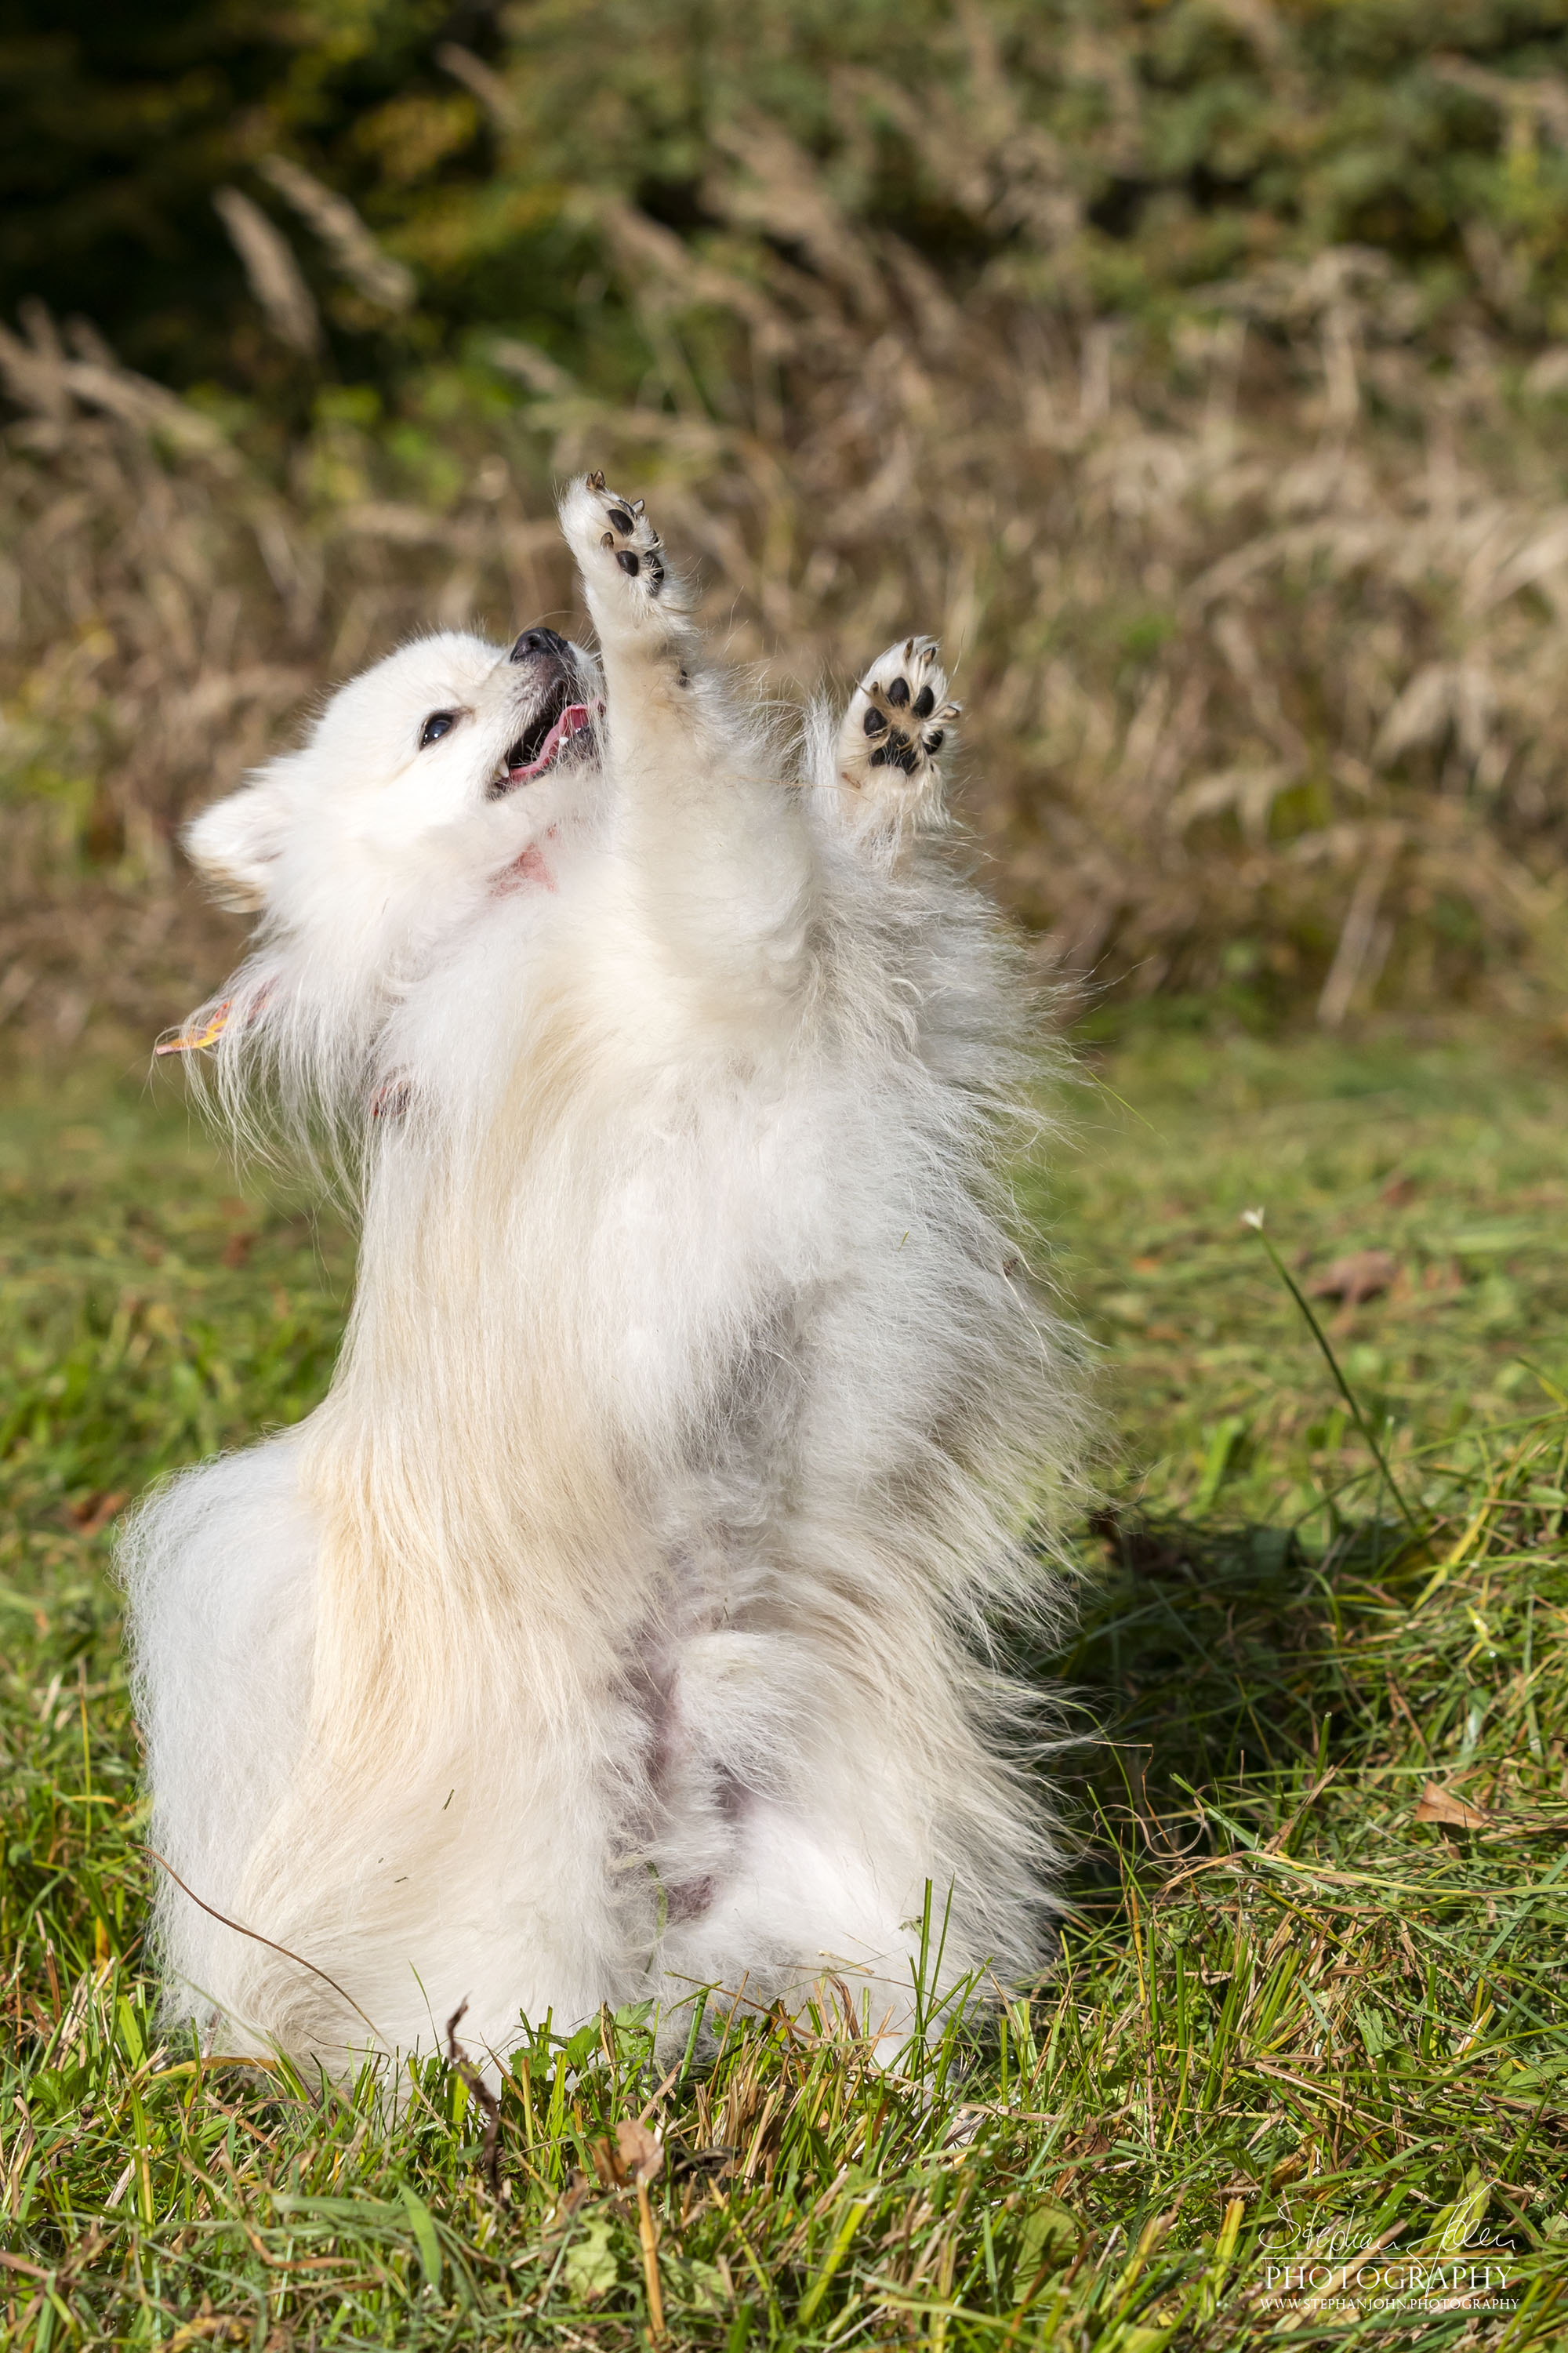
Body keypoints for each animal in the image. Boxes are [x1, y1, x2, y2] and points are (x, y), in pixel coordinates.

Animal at [122, 477, 1083, 2079]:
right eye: (437, 725)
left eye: (497, 658)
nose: (539, 631)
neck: (537, 879)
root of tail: (678, 1921)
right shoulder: (719, 939)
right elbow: (696, 758)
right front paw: (629, 590)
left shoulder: (831, 969)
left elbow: (845, 859)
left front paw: (884, 742)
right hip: (535, 1928)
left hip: (870, 1857)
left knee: (883, 1986)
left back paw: (917, 2082)